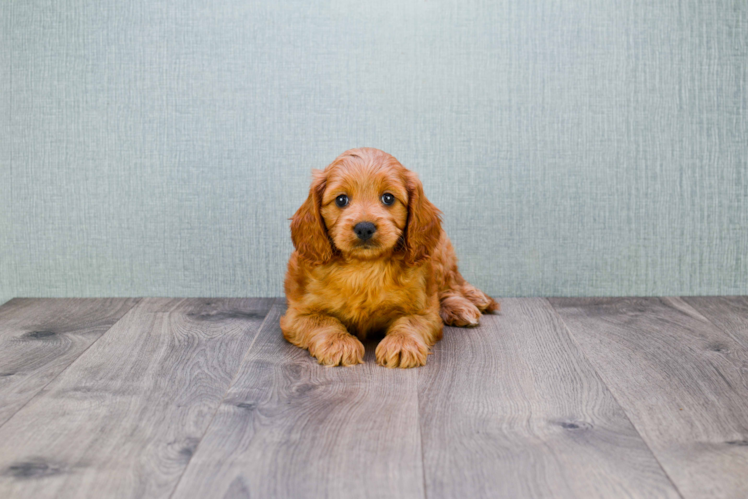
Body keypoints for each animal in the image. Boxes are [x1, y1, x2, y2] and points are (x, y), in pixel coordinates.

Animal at [284, 147, 500, 368]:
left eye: (388, 198)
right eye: (341, 200)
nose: (364, 227)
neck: (364, 267)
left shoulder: (424, 310)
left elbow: (410, 321)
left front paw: (402, 344)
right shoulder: (297, 314)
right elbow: (323, 321)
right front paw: (339, 343)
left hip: (440, 254)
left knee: (449, 285)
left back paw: (465, 305)